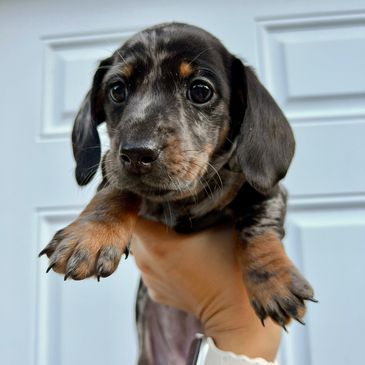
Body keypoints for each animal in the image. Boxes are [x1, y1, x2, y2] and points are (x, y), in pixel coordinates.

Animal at [39, 22, 312, 362]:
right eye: (117, 90)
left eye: (200, 90)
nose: (137, 153)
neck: (185, 197)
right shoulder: (114, 169)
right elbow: (117, 188)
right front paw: (91, 234)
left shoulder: (267, 189)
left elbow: (257, 224)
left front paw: (273, 281)